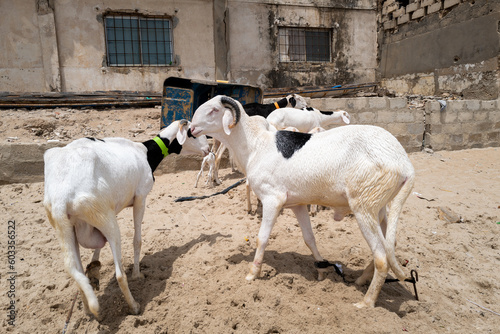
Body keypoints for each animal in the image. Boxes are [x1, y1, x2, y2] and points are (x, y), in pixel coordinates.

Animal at [41, 120, 209, 318]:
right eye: (193, 133)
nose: (208, 150)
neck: (144, 153)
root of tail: (61, 197)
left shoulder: (114, 207)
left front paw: (95, 269)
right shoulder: (140, 198)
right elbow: (137, 240)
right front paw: (137, 274)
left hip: (66, 228)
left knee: (76, 271)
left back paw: (88, 309)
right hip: (104, 218)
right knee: (119, 274)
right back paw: (134, 306)